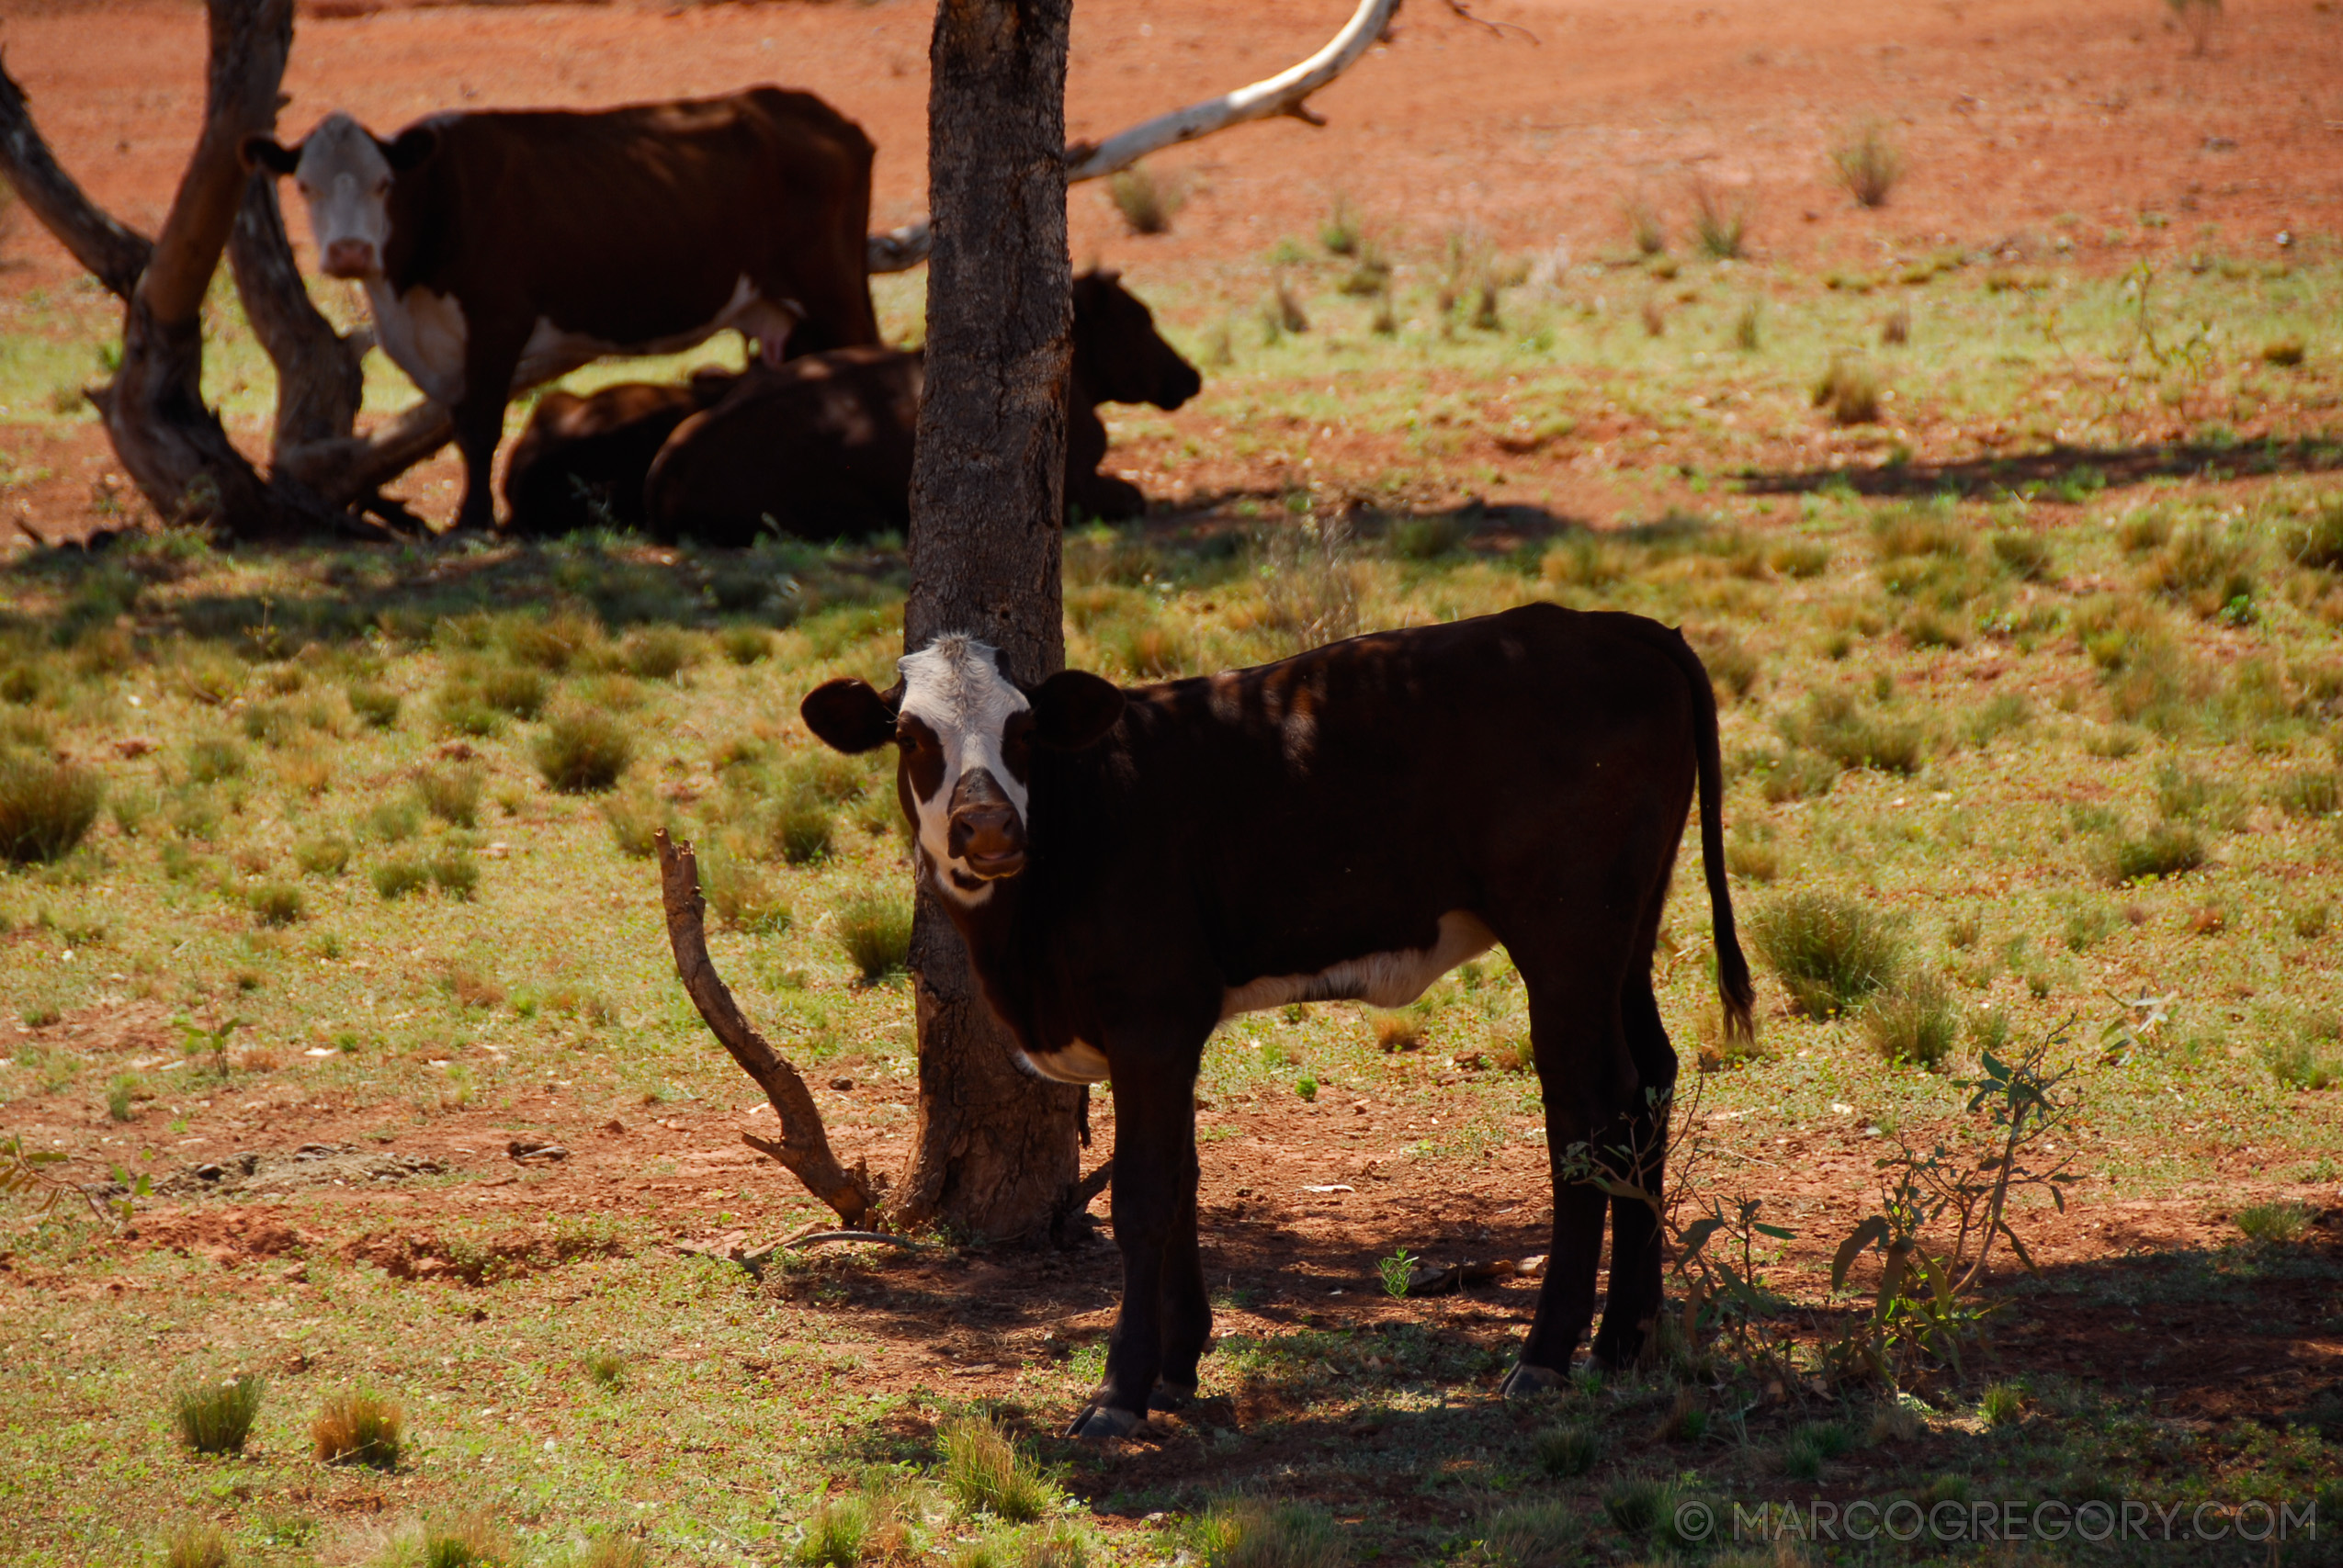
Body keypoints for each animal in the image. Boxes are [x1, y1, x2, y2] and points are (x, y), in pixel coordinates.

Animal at [247, 90, 880, 532]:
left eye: (383, 184)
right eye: (304, 187)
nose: (349, 251)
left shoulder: (499, 319)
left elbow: (480, 428)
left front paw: (473, 521)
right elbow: (460, 423)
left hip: (833, 286)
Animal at [801, 604, 1743, 1434]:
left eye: (1023, 729)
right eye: (910, 735)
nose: (989, 828)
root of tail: (1615, 625)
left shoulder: (1151, 1017)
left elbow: (1144, 1194)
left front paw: (1119, 1391)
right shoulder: (1171, 1033)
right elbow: (1182, 1178)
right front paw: (1177, 1367)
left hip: (1565, 938)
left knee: (1588, 1113)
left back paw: (1545, 1356)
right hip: (1628, 930)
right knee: (1650, 1081)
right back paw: (1623, 1341)